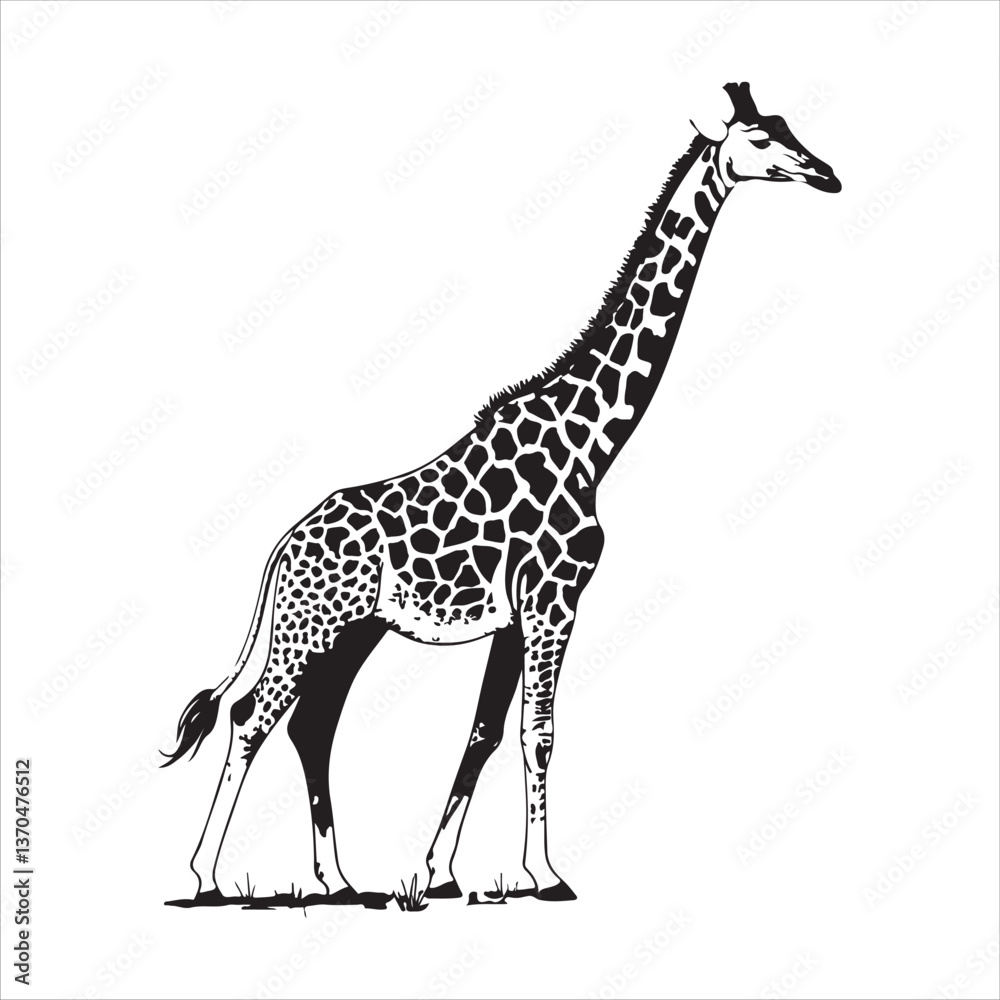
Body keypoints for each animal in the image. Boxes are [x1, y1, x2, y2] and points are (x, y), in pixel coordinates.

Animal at [163, 82, 840, 906]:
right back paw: (206, 876)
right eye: (762, 140)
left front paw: (438, 872)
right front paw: (544, 873)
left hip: (354, 630)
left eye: (789, 127)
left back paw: (338, 878)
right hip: (310, 625)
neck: (591, 439)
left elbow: (486, 732)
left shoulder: (516, 615)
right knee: (252, 717)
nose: (828, 174)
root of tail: (281, 548)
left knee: (311, 724)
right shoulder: (555, 599)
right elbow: (537, 732)